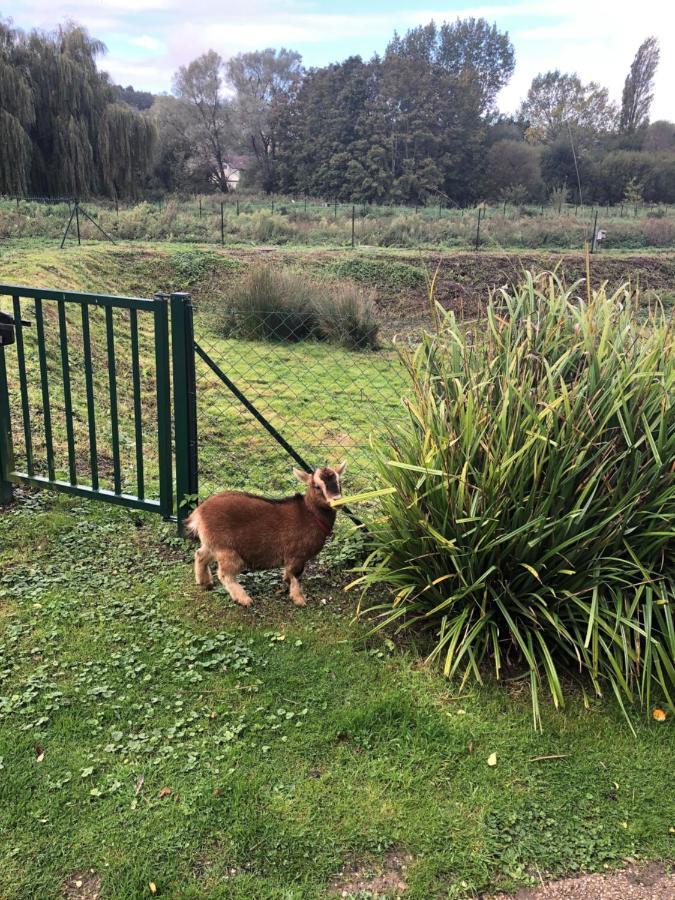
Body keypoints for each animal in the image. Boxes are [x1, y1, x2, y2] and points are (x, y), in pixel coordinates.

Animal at [184, 464, 346, 604]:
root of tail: (199, 512)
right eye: (317, 486)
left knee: (200, 554)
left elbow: (289, 575)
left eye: (339, 482)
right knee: (224, 573)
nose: (337, 501)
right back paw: (244, 599)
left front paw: (287, 585)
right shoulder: (296, 555)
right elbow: (295, 575)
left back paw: (205, 583)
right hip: (226, 549)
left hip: (212, 543)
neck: (310, 514)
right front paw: (299, 599)